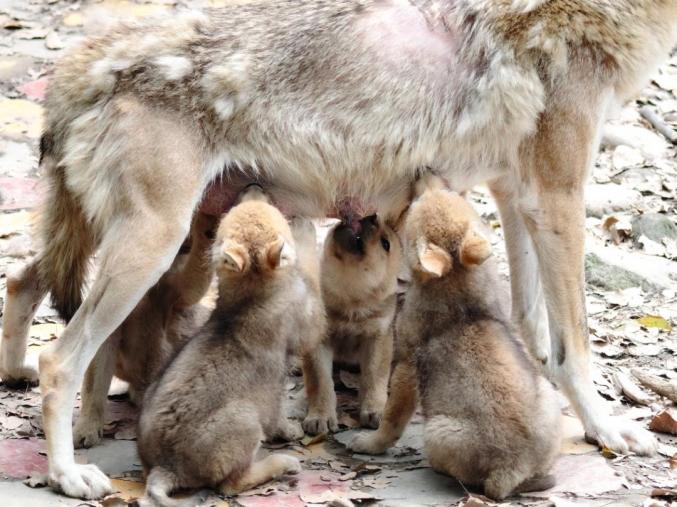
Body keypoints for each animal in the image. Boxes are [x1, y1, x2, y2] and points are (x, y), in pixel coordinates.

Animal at [136, 190, 320, 504]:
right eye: (277, 215)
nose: (253, 185)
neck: (248, 298)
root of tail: (166, 467)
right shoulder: (310, 323)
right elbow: (311, 272)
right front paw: (306, 231)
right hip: (245, 421)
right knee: (231, 484)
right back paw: (282, 463)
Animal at [302, 216, 402, 434]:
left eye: (385, 243)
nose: (370, 216)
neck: (349, 297)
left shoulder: (377, 337)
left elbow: (374, 377)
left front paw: (376, 409)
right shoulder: (319, 341)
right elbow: (320, 382)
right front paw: (320, 416)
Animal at [348, 177, 560, 502]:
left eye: (416, 205)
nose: (426, 176)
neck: (458, 281)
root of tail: (513, 466)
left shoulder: (406, 367)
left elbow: (391, 419)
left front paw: (370, 443)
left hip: (437, 432)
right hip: (549, 398)